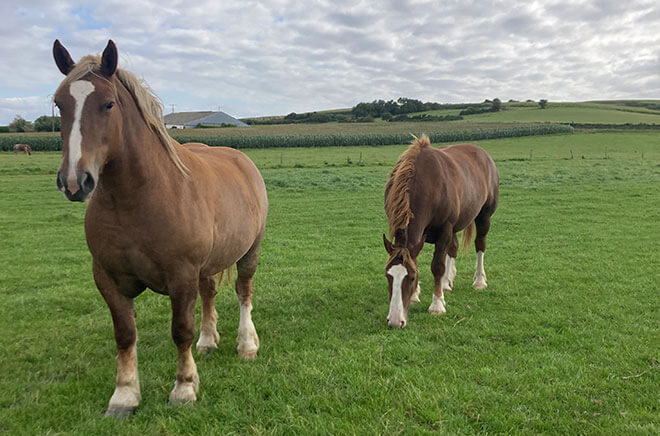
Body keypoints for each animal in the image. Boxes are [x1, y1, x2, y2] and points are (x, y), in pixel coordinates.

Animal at [52, 39, 268, 417]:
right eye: (59, 103)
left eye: (108, 104)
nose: (75, 181)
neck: (137, 199)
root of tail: (242, 161)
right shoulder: (107, 279)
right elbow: (125, 334)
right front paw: (124, 395)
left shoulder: (181, 276)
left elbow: (180, 330)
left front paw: (184, 388)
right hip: (205, 267)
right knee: (209, 293)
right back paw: (208, 341)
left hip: (249, 253)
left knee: (244, 292)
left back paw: (246, 345)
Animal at [383, 135, 498, 328]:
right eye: (388, 275)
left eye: (411, 277)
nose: (395, 321)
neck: (427, 185)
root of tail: (483, 154)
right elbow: (418, 259)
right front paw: (415, 295)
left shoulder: (445, 228)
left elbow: (437, 266)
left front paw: (437, 305)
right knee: (453, 248)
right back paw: (446, 282)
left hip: (484, 216)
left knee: (480, 244)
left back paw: (479, 280)